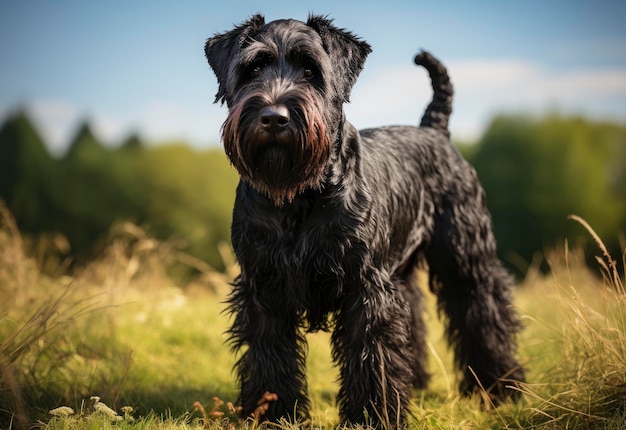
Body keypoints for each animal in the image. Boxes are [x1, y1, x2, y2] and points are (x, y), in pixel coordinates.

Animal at [204, 13, 520, 426]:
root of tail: (434, 131)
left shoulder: (365, 288)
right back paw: (418, 382)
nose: (274, 117)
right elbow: (269, 356)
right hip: (400, 272)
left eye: (310, 70)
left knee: (484, 309)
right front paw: (273, 413)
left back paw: (500, 386)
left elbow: (372, 357)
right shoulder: (264, 288)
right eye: (252, 69)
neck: (298, 196)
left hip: (466, 260)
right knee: (414, 318)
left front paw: (372, 417)